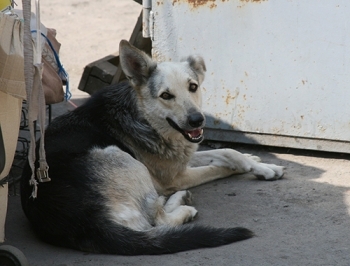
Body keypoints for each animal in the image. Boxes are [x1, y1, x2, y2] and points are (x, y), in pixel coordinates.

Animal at [20, 40, 284, 256]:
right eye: (166, 95)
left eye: (193, 87)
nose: (197, 120)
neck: (144, 117)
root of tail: (88, 223)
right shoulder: (174, 176)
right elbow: (219, 164)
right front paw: (261, 168)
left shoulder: (180, 158)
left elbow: (225, 153)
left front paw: (255, 160)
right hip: (122, 158)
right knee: (157, 220)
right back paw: (181, 204)